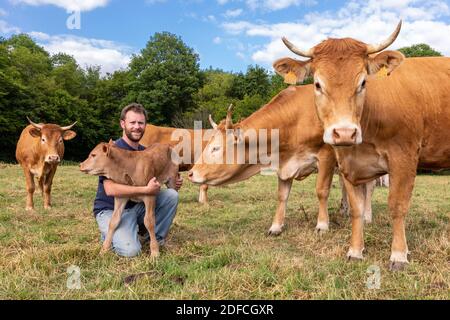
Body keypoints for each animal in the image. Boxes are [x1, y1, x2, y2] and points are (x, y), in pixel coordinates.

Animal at [272, 21, 450, 270]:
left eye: (363, 82)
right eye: (317, 84)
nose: (345, 133)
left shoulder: (403, 158)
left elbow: (397, 206)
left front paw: (398, 255)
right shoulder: (348, 165)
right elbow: (356, 208)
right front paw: (355, 250)